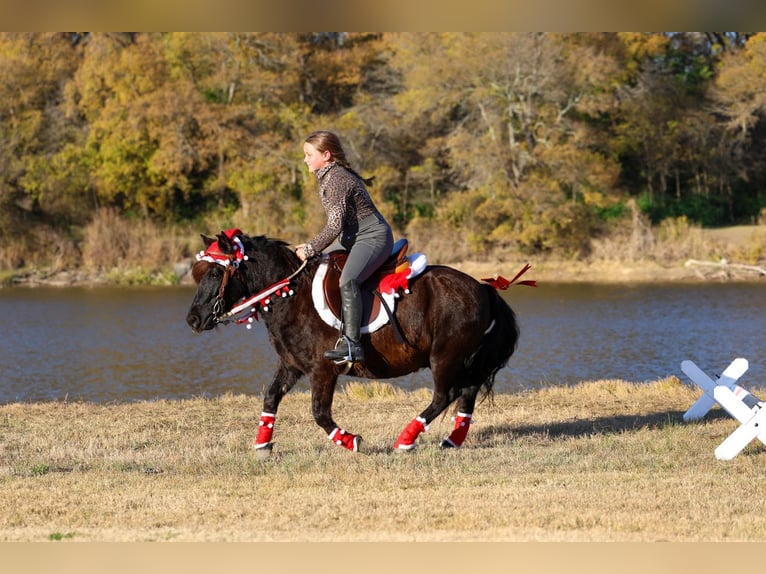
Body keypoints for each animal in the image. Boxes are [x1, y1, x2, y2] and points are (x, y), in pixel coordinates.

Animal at [185, 229, 521, 454]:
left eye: (214, 273)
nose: (192, 319)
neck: (290, 295)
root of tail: (481, 287)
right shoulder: (291, 365)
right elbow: (270, 397)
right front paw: (262, 445)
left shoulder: (322, 370)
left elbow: (319, 413)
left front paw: (350, 440)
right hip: (464, 357)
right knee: (467, 393)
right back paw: (451, 440)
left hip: (444, 356)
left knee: (445, 394)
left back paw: (406, 440)